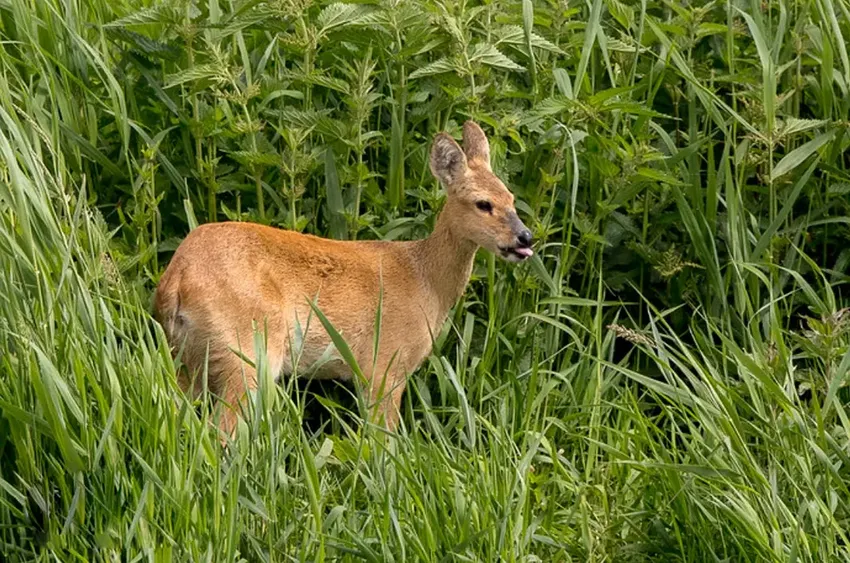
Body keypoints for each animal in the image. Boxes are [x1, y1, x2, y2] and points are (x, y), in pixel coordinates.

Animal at [154, 122, 528, 440]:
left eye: (511, 198)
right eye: (483, 203)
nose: (525, 238)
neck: (425, 280)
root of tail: (175, 279)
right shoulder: (384, 364)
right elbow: (384, 442)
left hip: (188, 355)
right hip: (247, 349)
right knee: (222, 431)